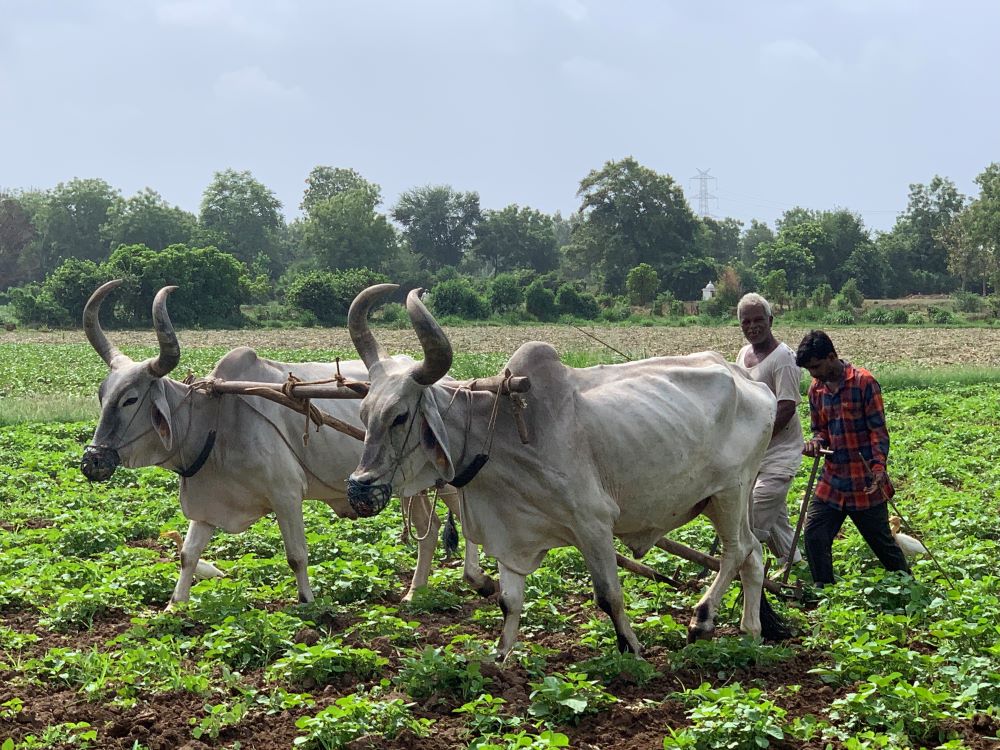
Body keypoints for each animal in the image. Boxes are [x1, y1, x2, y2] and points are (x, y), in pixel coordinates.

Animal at [79, 279, 495, 606]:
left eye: (131, 398)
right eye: (102, 394)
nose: (92, 460)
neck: (216, 420)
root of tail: (448, 384)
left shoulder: (286, 494)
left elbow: (296, 555)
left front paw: (307, 604)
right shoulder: (209, 505)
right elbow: (188, 554)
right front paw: (174, 605)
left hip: (447, 477)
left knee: (465, 521)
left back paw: (478, 579)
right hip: (409, 486)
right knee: (430, 527)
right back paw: (414, 592)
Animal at [345, 284, 788, 658]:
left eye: (400, 416)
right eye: (363, 413)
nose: (359, 489)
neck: (501, 436)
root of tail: (751, 382)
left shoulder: (593, 523)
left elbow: (609, 595)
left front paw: (632, 649)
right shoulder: (511, 532)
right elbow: (508, 601)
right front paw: (498, 658)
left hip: (730, 491)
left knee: (736, 551)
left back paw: (703, 620)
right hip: (719, 500)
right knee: (754, 555)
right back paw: (751, 632)